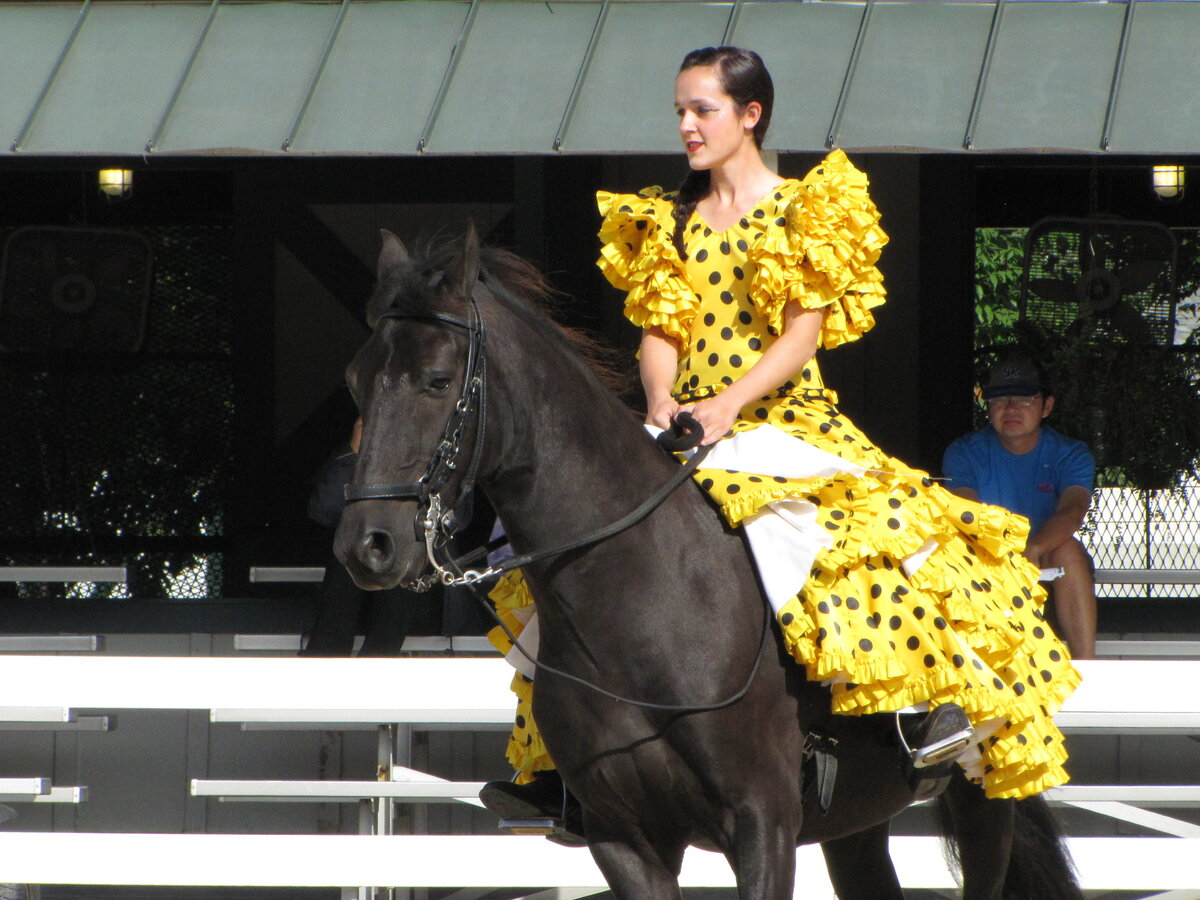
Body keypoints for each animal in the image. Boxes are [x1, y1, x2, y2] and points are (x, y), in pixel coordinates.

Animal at [333, 226, 1084, 900]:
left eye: (437, 381)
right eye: (356, 381)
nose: (366, 545)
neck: (641, 600)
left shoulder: (763, 824)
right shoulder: (624, 839)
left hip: (984, 798)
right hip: (856, 819)